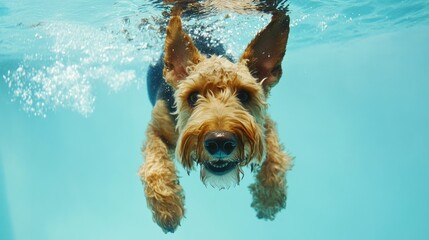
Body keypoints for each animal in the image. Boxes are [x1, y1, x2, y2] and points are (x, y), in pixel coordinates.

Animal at [139, 10, 292, 232]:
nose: (220, 141)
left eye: (244, 95)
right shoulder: (156, 128)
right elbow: (154, 164)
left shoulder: (264, 125)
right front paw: (167, 207)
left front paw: (269, 198)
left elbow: (275, 157)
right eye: (193, 97)